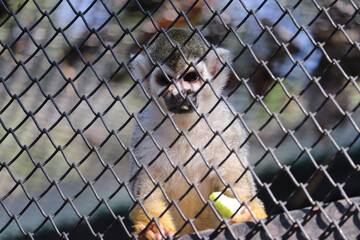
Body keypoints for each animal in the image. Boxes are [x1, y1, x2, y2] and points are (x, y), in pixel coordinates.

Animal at [128, 29, 266, 239]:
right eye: (165, 81)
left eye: (191, 77)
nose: (178, 94)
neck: (186, 125)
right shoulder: (144, 131)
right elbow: (147, 190)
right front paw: (153, 228)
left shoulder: (226, 125)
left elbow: (236, 181)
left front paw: (247, 213)